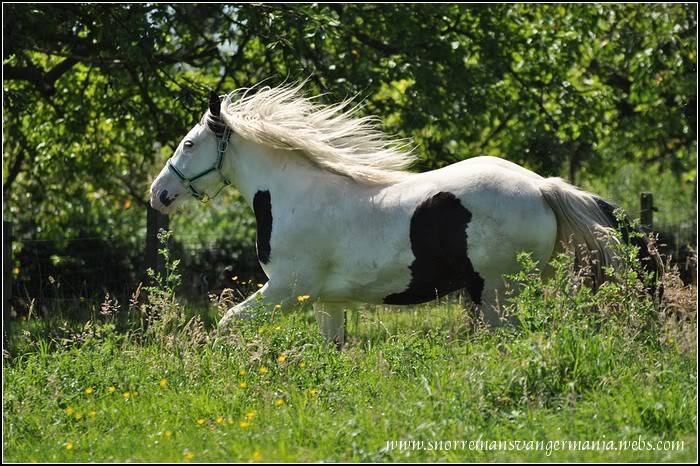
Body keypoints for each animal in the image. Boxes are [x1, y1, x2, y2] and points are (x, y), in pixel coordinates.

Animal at [149, 83, 660, 346]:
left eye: (189, 144)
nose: (159, 194)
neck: (293, 195)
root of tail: (541, 187)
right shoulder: (328, 301)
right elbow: (332, 349)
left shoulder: (287, 289)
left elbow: (228, 324)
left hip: (497, 294)